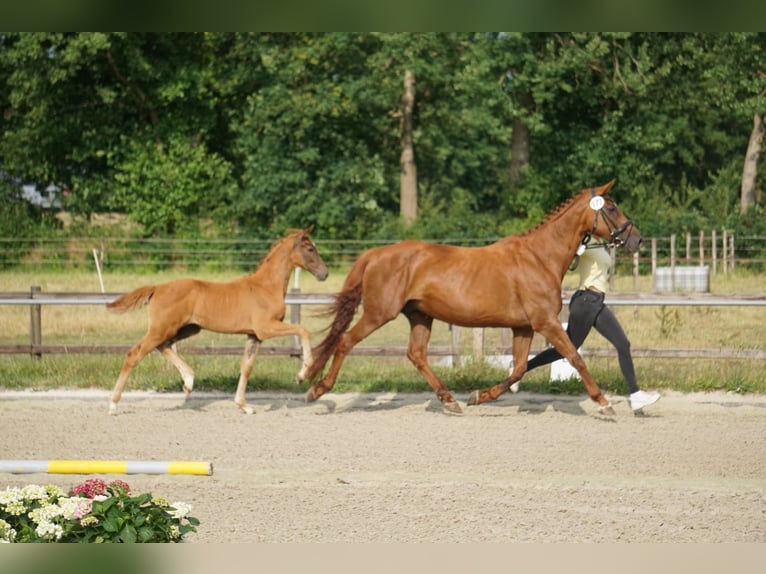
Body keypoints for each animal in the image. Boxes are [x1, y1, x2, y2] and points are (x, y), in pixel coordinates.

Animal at [105, 225, 328, 415]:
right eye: (310, 248)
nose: (324, 273)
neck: (265, 287)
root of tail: (157, 288)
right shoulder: (266, 328)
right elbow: (303, 330)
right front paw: (302, 374)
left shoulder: (254, 335)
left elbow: (246, 368)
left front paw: (244, 406)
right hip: (162, 328)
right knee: (135, 354)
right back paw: (113, 405)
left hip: (186, 328)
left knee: (164, 346)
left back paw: (188, 382)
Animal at [305, 180, 641, 415]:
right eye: (612, 208)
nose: (636, 238)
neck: (539, 258)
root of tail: (375, 254)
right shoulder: (546, 322)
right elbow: (574, 357)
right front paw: (604, 403)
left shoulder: (524, 327)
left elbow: (519, 368)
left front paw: (478, 396)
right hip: (379, 313)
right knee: (346, 341)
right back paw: (317, 390)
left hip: (420, 316)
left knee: (417, 355)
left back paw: (450, 400)